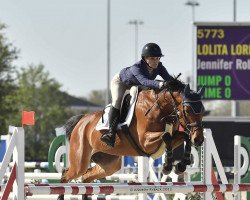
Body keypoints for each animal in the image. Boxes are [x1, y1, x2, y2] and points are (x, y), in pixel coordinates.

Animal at [57, 79, 204, 199]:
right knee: (66, 174)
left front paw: (181, 165)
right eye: (187, 110)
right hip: (79, 162)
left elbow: (184, 136)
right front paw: (167, 166)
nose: (199, 139)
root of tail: (81, 121)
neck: (161, 109)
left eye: (202, 110)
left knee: (86, 177)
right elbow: (165, 135)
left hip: (109, 164)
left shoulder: (173, 138)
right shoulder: (145, 142)